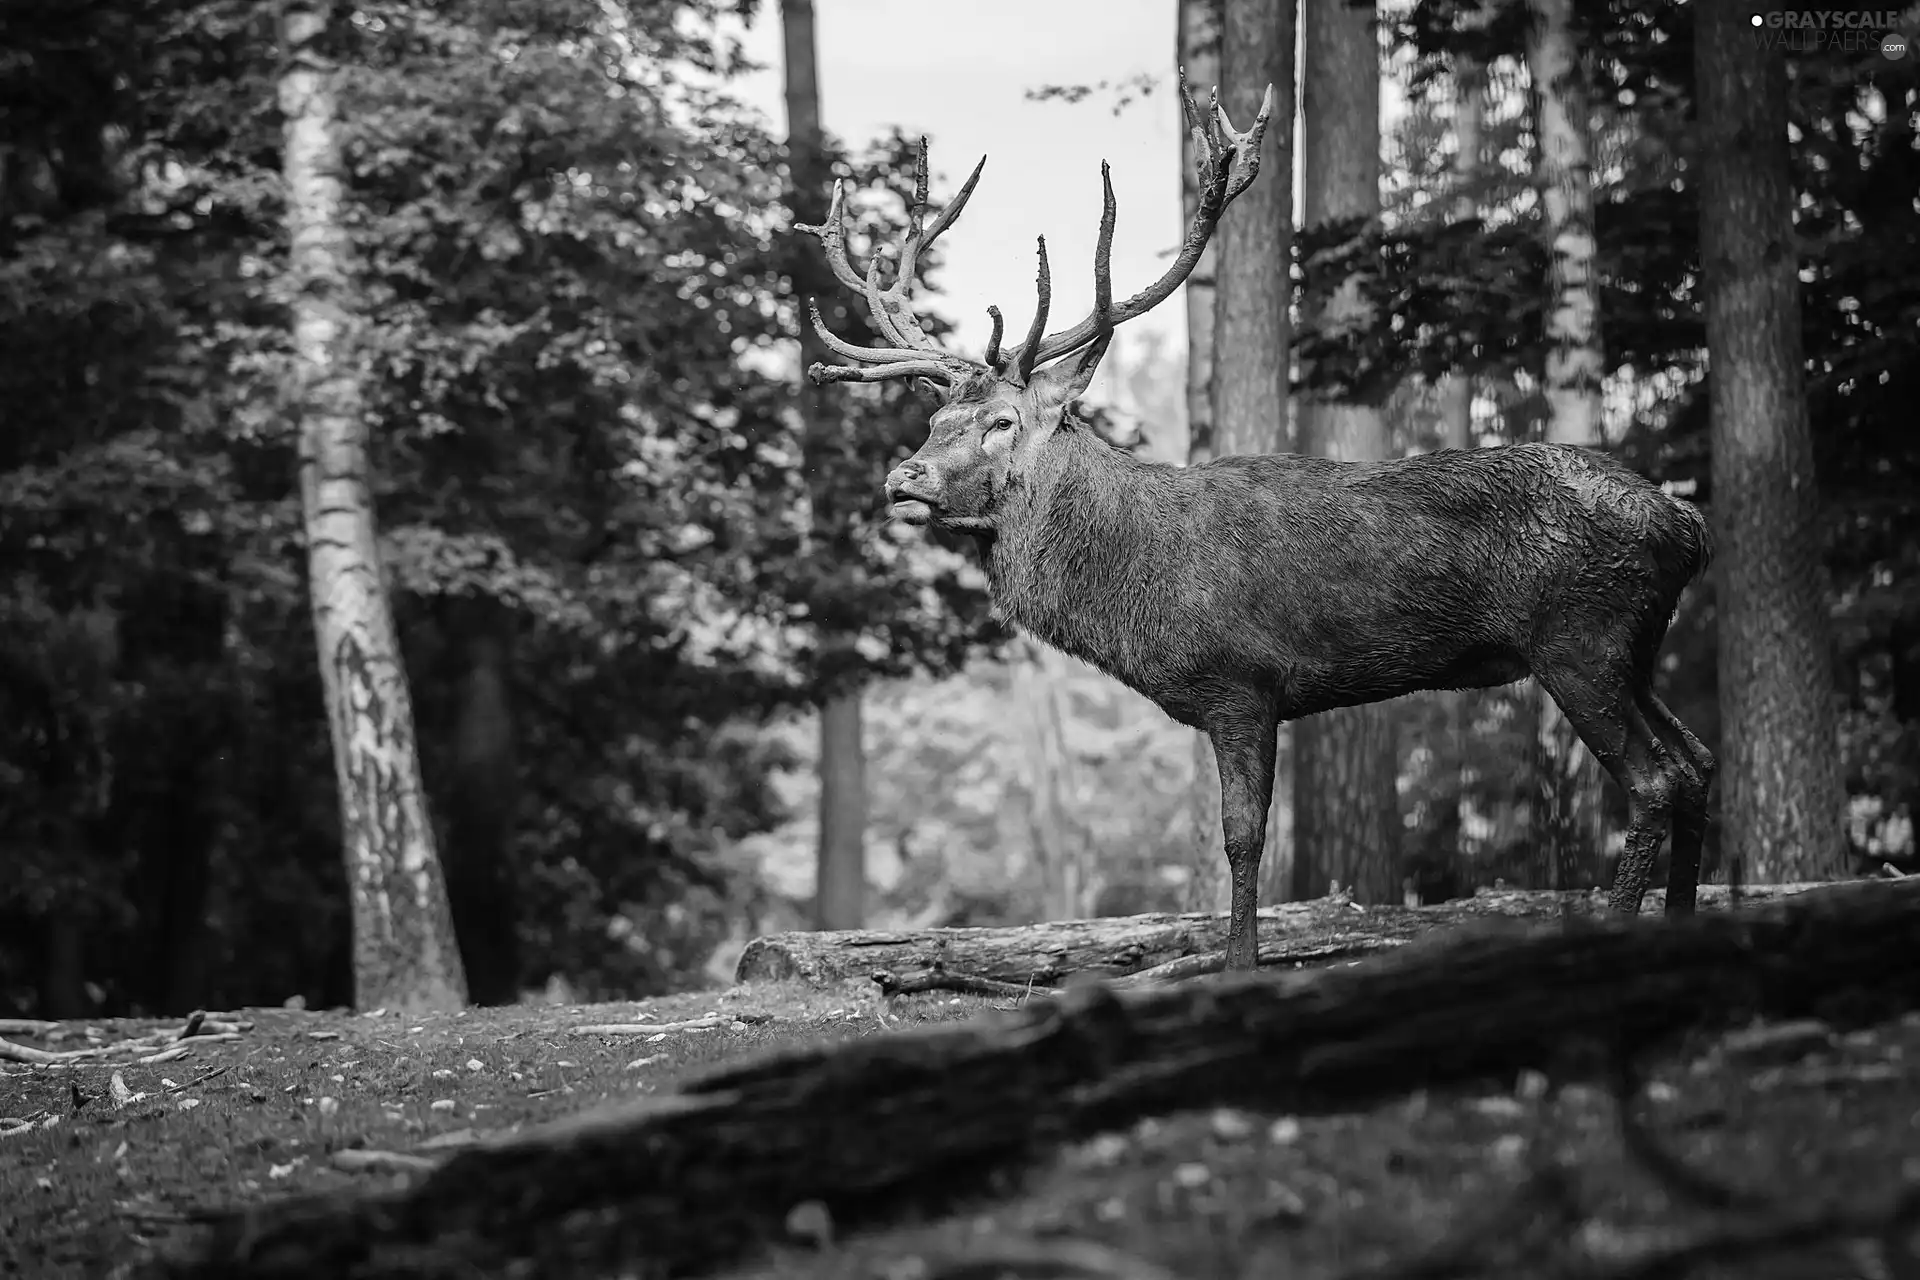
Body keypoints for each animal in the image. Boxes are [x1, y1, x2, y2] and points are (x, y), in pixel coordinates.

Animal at [794, 72, 1712, 971]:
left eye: (1001, 422)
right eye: (934, 418)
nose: (902, 478)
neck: (1132, 592)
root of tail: (1685, 524)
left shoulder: (1242, 682)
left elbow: (1244, 839)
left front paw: (1240, 964)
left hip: (1577, 636)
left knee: (1654, 781)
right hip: (1632, 647)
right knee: (1697, 763)